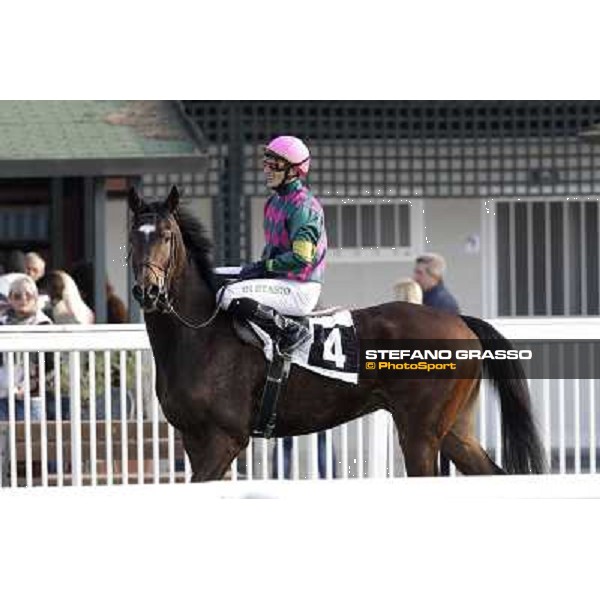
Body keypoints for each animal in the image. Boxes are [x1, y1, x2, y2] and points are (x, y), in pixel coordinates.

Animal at [129, 188, 548, 482]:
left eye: (166, 236)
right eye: (134, 237)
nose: (148, 291)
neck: (200, 339)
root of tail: (459, 320)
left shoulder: (226, 438)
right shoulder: (194, 439)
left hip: (421, 433)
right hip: (454, 430)